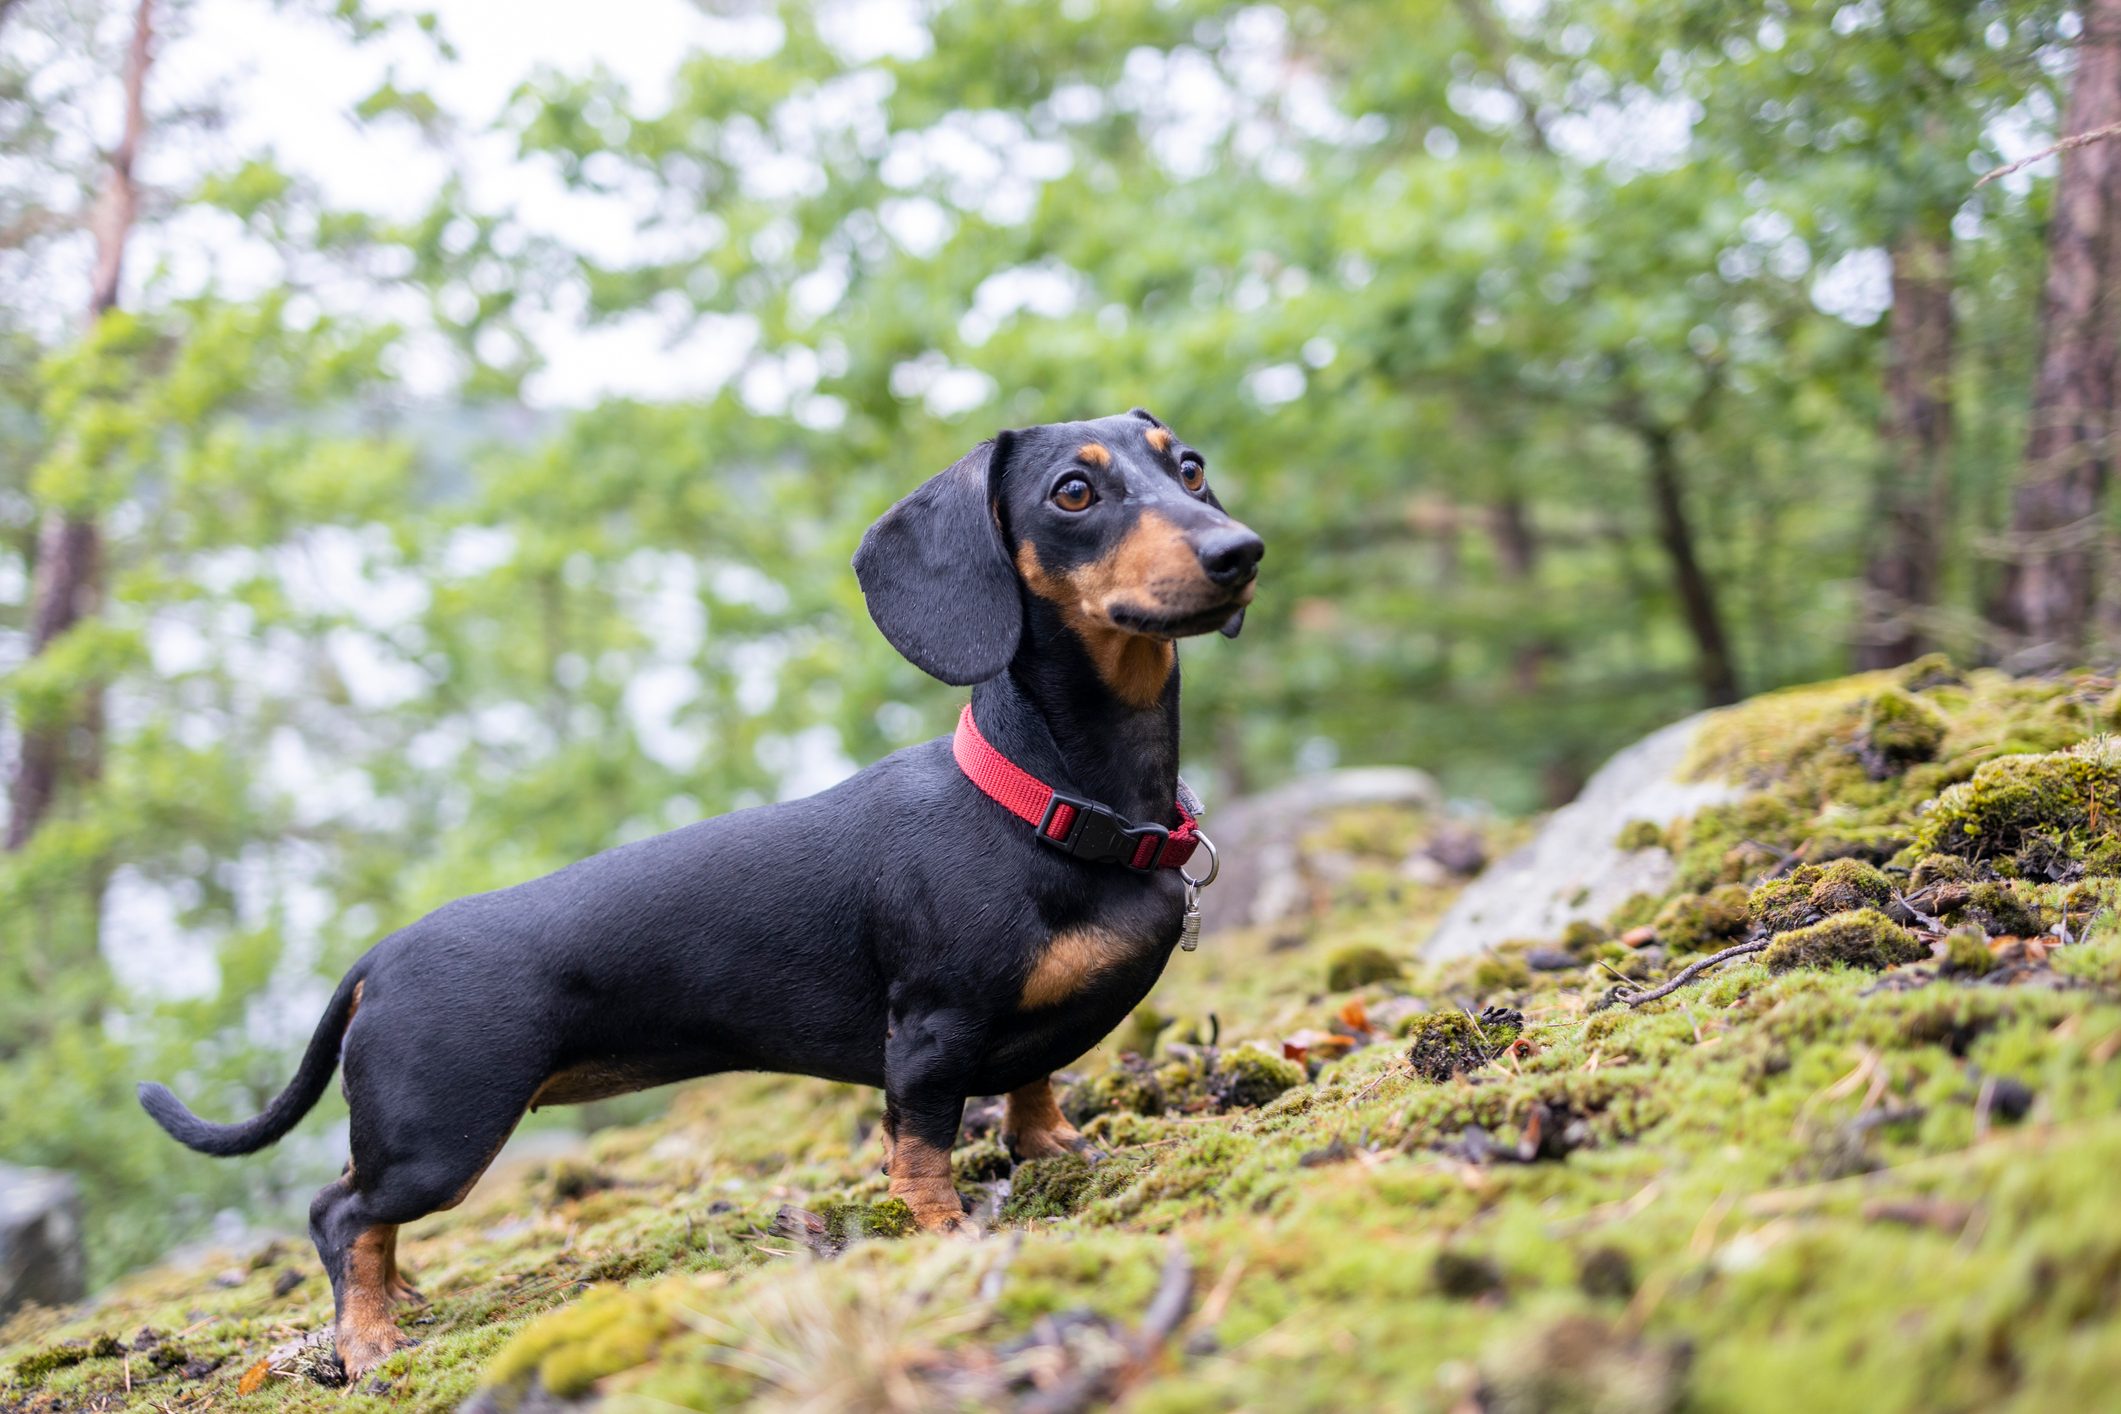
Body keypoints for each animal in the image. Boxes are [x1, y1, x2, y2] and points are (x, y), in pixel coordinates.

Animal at [141, 402, 1264, 1373]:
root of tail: (379, 955)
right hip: (440, 1138)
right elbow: (920, 1152)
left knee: (354, 1205)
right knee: (339, 1214)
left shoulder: (1020, 1037)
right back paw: (370, 1339)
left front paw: (1061, 1150)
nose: (1240, 551)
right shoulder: (931, 1036)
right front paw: (944, 1236)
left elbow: (1034, 1087)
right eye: (1073, 491)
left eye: (1189, 467)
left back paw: (396, 1296)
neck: (1050, 805)